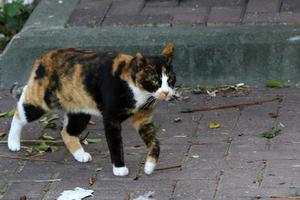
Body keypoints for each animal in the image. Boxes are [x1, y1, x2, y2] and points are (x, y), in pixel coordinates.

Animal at [7, 43, 176, 175]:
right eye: (155, 81)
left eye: (170, 80)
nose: (166, 92)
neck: (138, 91)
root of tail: (43, 56)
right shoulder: (111, 120)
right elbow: (115, 143)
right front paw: (119, 168)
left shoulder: (143, 119)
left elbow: (155, 143)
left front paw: (149, 166)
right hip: (42, 101)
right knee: (20, 110)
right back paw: (13, 143)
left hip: (80, 112)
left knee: (66, 132)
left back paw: (80, 154)